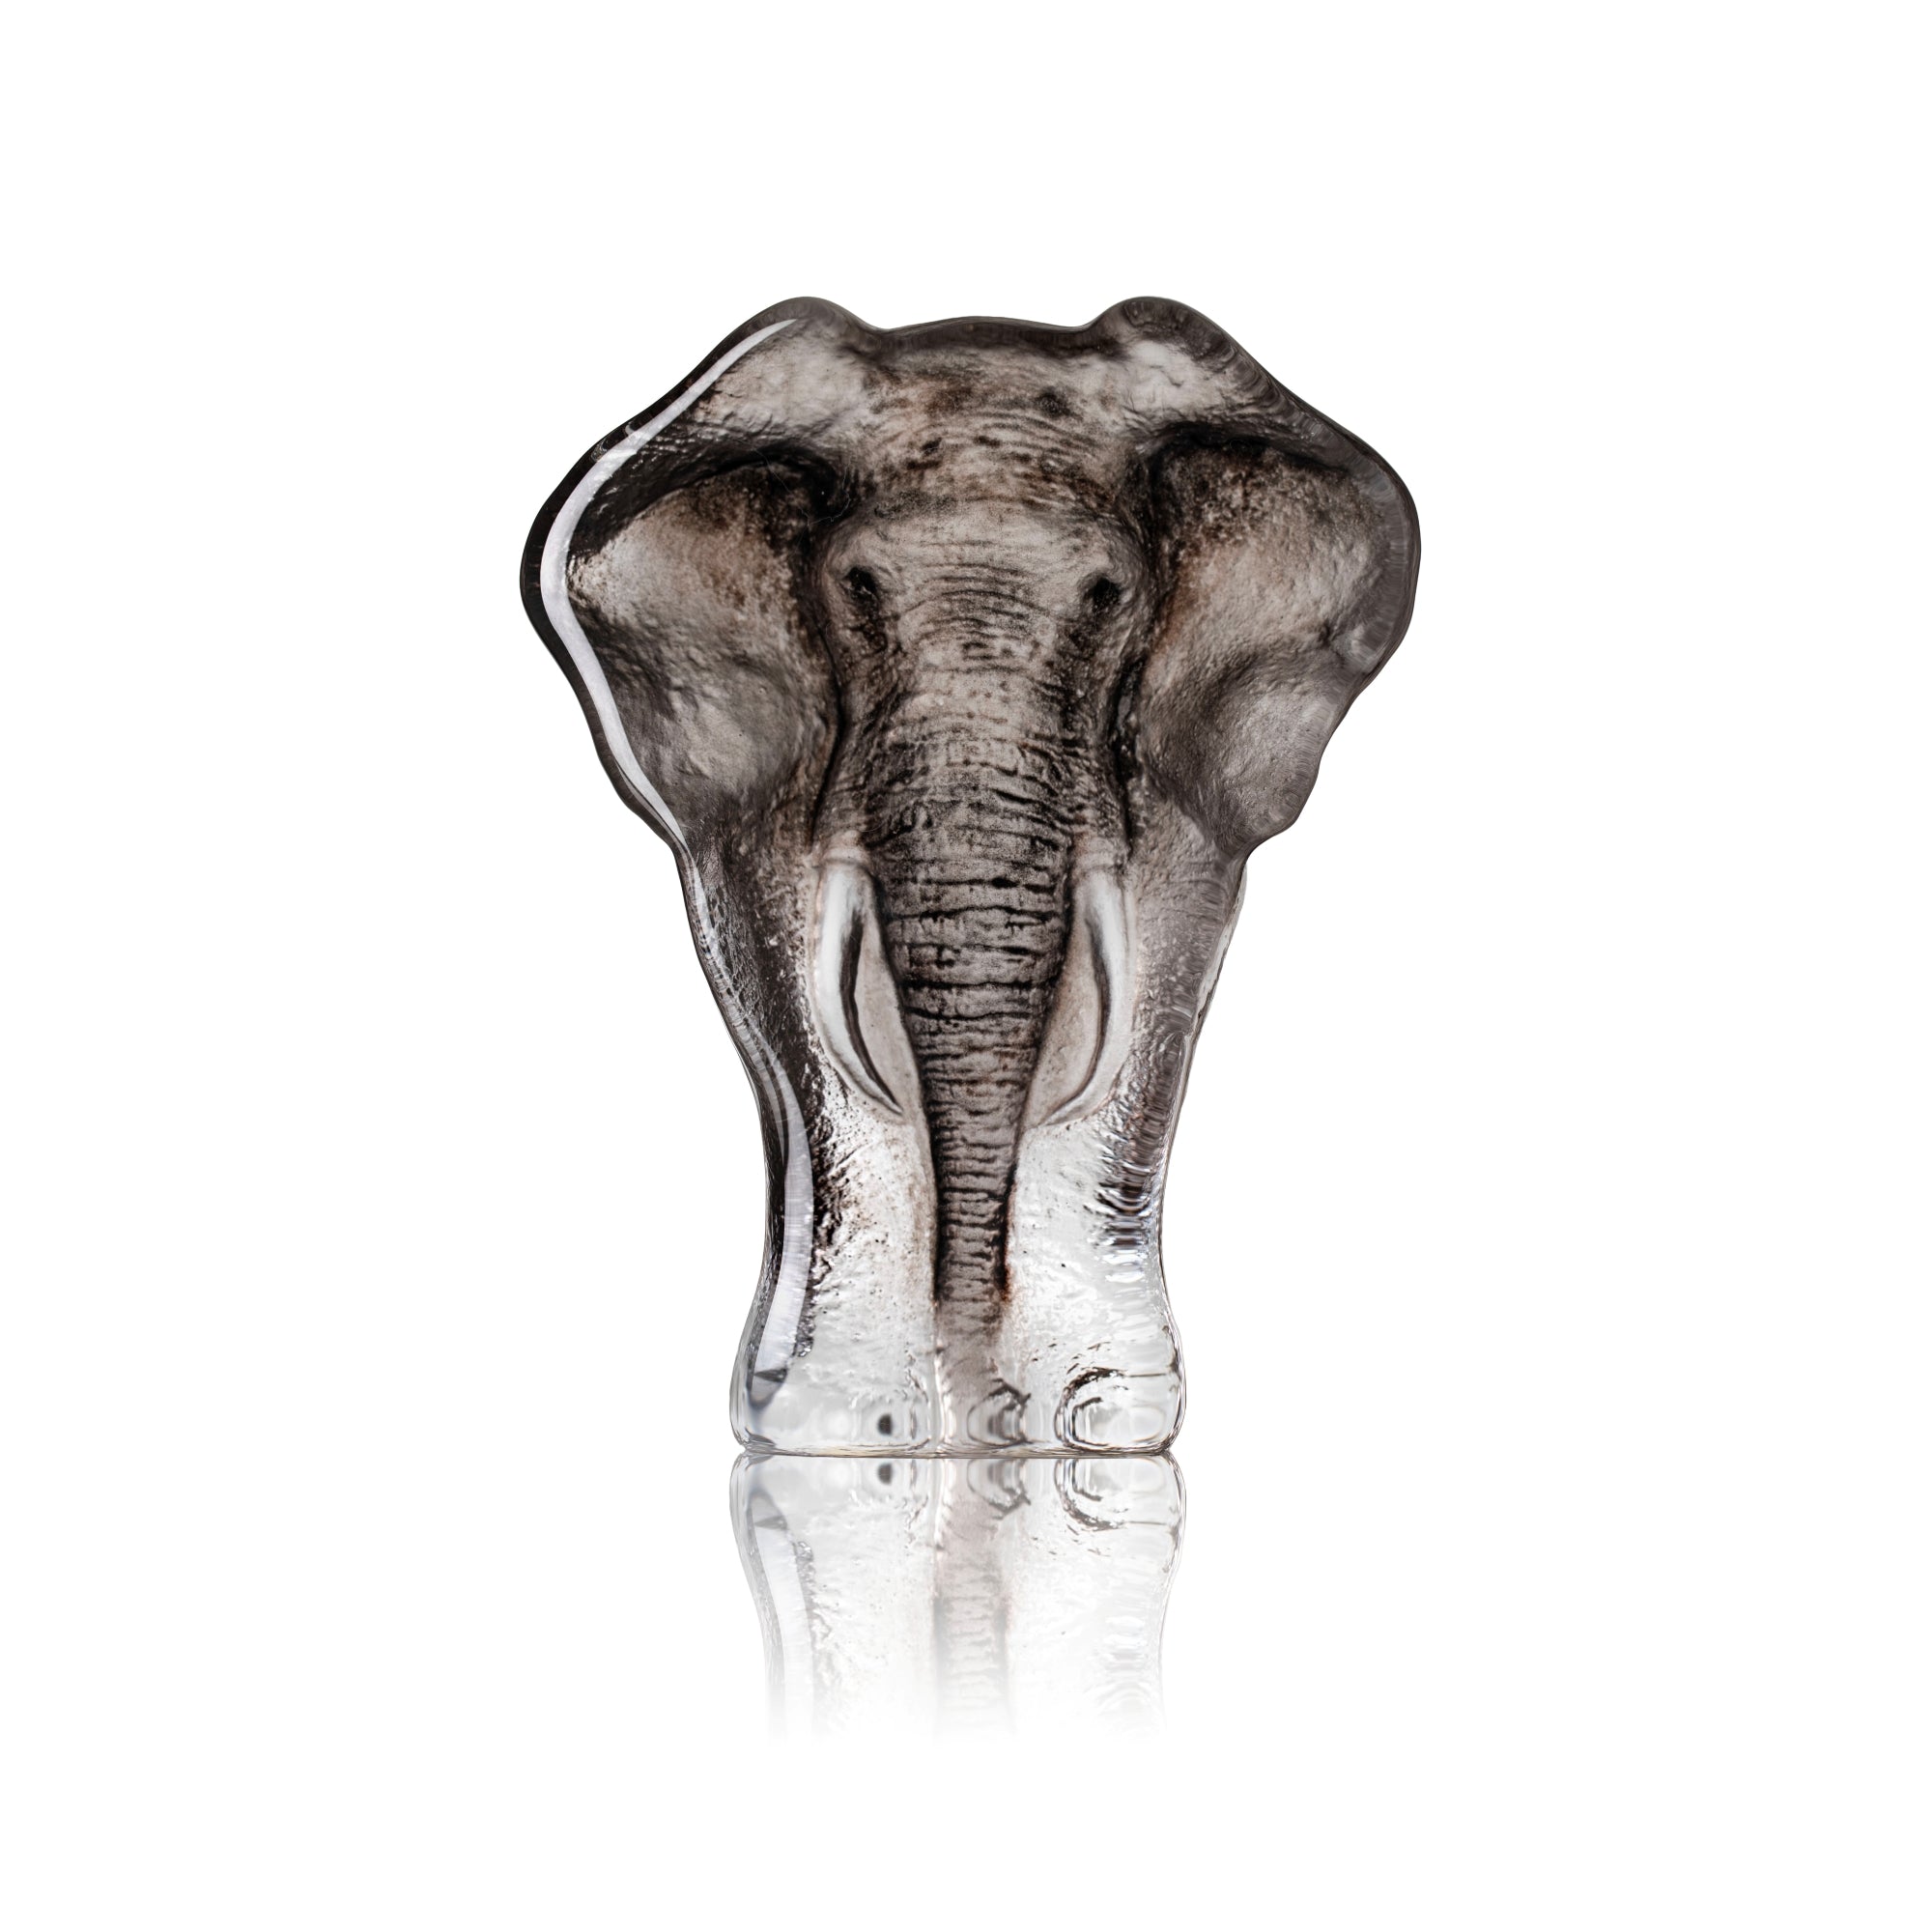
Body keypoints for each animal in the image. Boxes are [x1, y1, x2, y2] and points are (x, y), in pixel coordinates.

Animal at [521, 298, 1418, 1454]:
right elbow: (784, 1001)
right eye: (855, 585)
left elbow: (1160, 981)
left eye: (1109, 593)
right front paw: (846, 1421)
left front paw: (1102, 1414)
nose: (982, 1408)